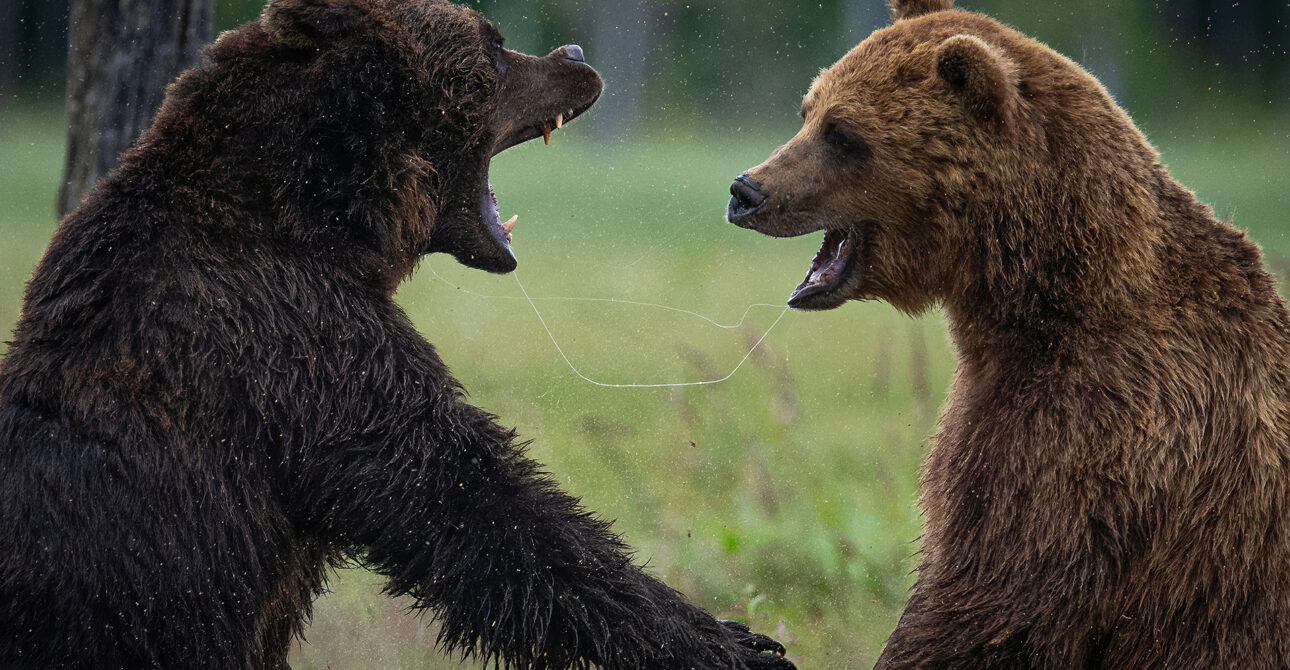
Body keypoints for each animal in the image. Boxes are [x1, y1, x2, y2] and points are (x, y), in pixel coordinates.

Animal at [0, 1, 794, 669]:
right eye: (494, 49)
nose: (573, 51)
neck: (315, 221)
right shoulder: (296, 345)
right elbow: (469, 498)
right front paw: (727, 640)